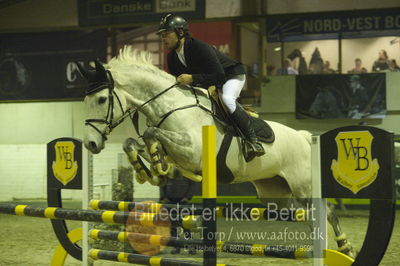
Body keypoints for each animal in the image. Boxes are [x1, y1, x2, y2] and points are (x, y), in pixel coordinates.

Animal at [79, 45, 356, 256]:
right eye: (85, 101)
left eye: (102, 99)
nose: (90, 144)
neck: (171, 106)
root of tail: (304, 137)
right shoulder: (177, 151)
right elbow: (134, 142)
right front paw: (151, 171)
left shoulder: (193, 153)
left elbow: (150, 134)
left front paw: (157, 167)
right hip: (276, 194)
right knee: (307, 216)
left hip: (304, 188)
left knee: (327, 212)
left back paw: (344, 248)